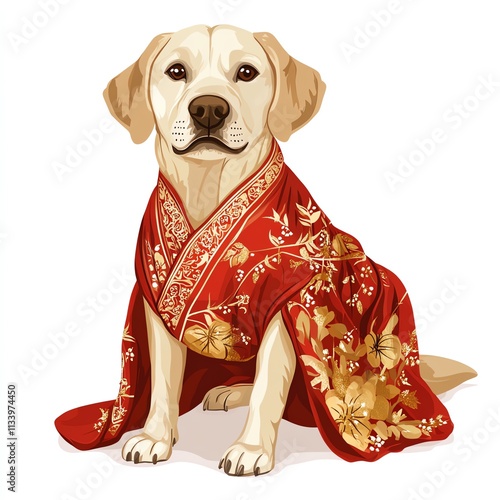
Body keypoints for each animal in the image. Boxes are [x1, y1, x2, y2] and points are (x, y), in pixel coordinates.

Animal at [55, 24, 476, 476]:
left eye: (246, 72)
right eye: (176, 71)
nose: (208, 108)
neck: (209, 189)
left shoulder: (288, 306)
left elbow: (269, 386)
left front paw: (251, 449)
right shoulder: (158, 306)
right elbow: (164, 384)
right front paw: (155, 438)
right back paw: (228, 391)